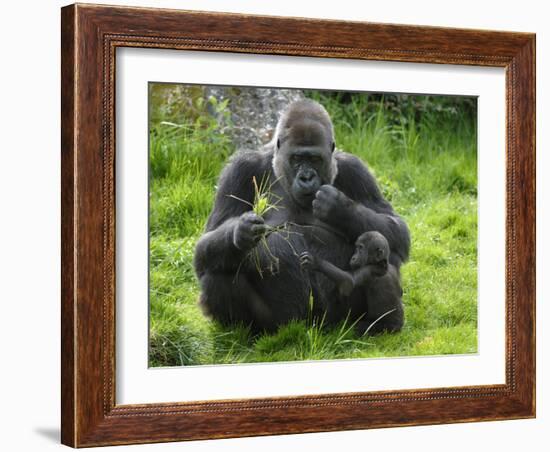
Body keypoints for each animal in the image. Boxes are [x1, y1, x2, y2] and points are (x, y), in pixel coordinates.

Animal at [194, 100, 410, 332]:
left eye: (315, 159)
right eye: (297, 158)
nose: (306, 177)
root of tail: (311, 326)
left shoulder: (355, 168)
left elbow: (397, 229)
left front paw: (339, 208)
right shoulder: (240, 168)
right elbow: (204, 247)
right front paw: (241, 231)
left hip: (338, 318)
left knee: (384, 257)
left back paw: (380, 323)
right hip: (280, 322)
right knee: (217, 271)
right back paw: (246, 332)